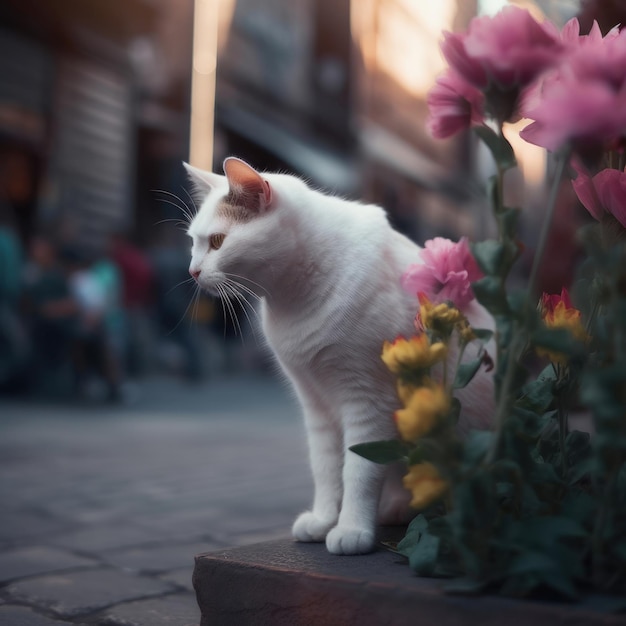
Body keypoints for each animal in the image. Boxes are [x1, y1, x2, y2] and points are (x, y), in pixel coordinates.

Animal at [185, 158, 492, 552]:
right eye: (193, 242)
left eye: (218, 242)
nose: (192, 271)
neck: (293, 297)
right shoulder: (315, 403)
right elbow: (327, 468)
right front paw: (323, 520)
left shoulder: (368, 402)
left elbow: (359, 471)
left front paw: (351, 529)